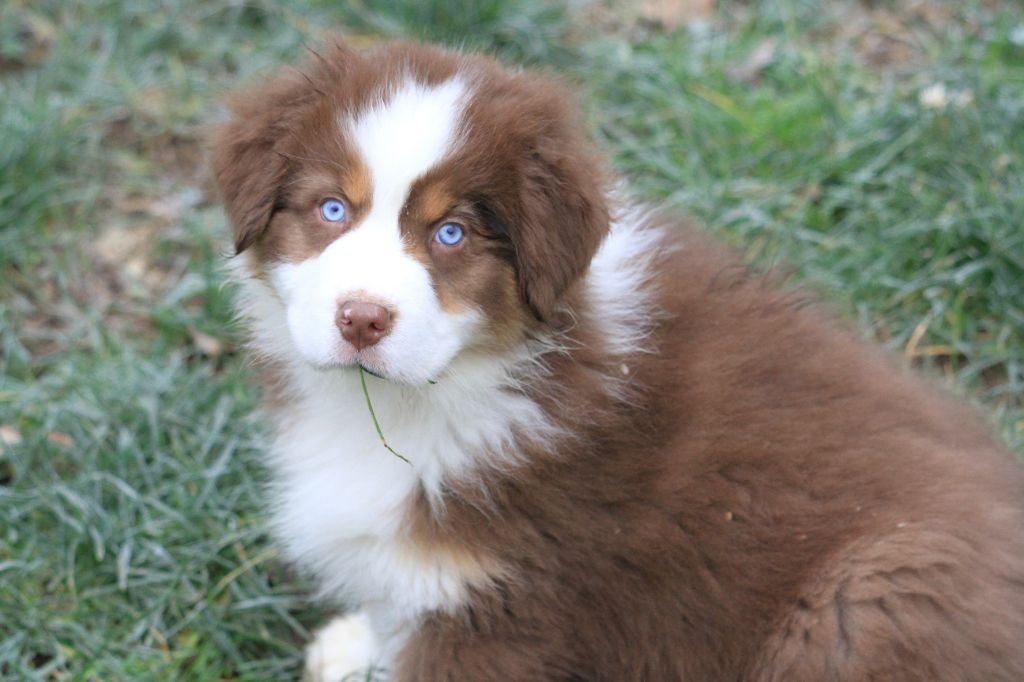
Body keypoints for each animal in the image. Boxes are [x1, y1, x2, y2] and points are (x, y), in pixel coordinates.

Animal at [211, 38, 1024, 679]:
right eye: (331, 209)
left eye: (451, 234)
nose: (362, 318)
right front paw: (359, 649)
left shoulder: (502, 603)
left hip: (863, 605)